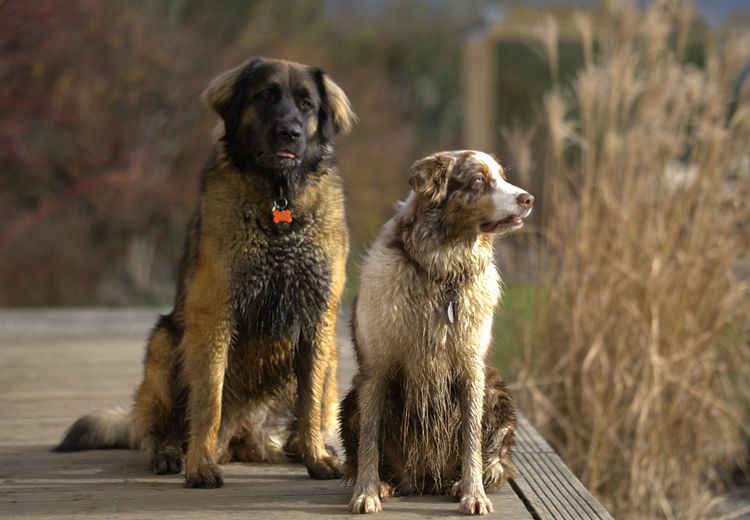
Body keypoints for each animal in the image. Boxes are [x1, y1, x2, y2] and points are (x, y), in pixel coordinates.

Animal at [53, 57, 358, 488]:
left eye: (306, 104)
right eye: (266, 96)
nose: (290, 132)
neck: (278, 201)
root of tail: (246, 434)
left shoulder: (318, 319)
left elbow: (310, 403)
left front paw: (317, 458)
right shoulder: (214, 315)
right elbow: (208, 400)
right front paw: (200, 466)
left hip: (331, 356)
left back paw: (303, 447)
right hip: (164, 343)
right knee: (161, 428)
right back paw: (172, 455)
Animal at [340, 150, 536, 516]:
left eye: (503, 177)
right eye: (479, 180)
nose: (528, 199)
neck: (442, 271)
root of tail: (426, 479)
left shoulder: (473, 369)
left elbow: (472, 438)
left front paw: (474, 494)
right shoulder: (375, 371)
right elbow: (369, 441)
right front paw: (367, 492)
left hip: (498, 392)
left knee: (496, 458)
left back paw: (464, 481)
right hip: (350, 400)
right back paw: (386, 484)